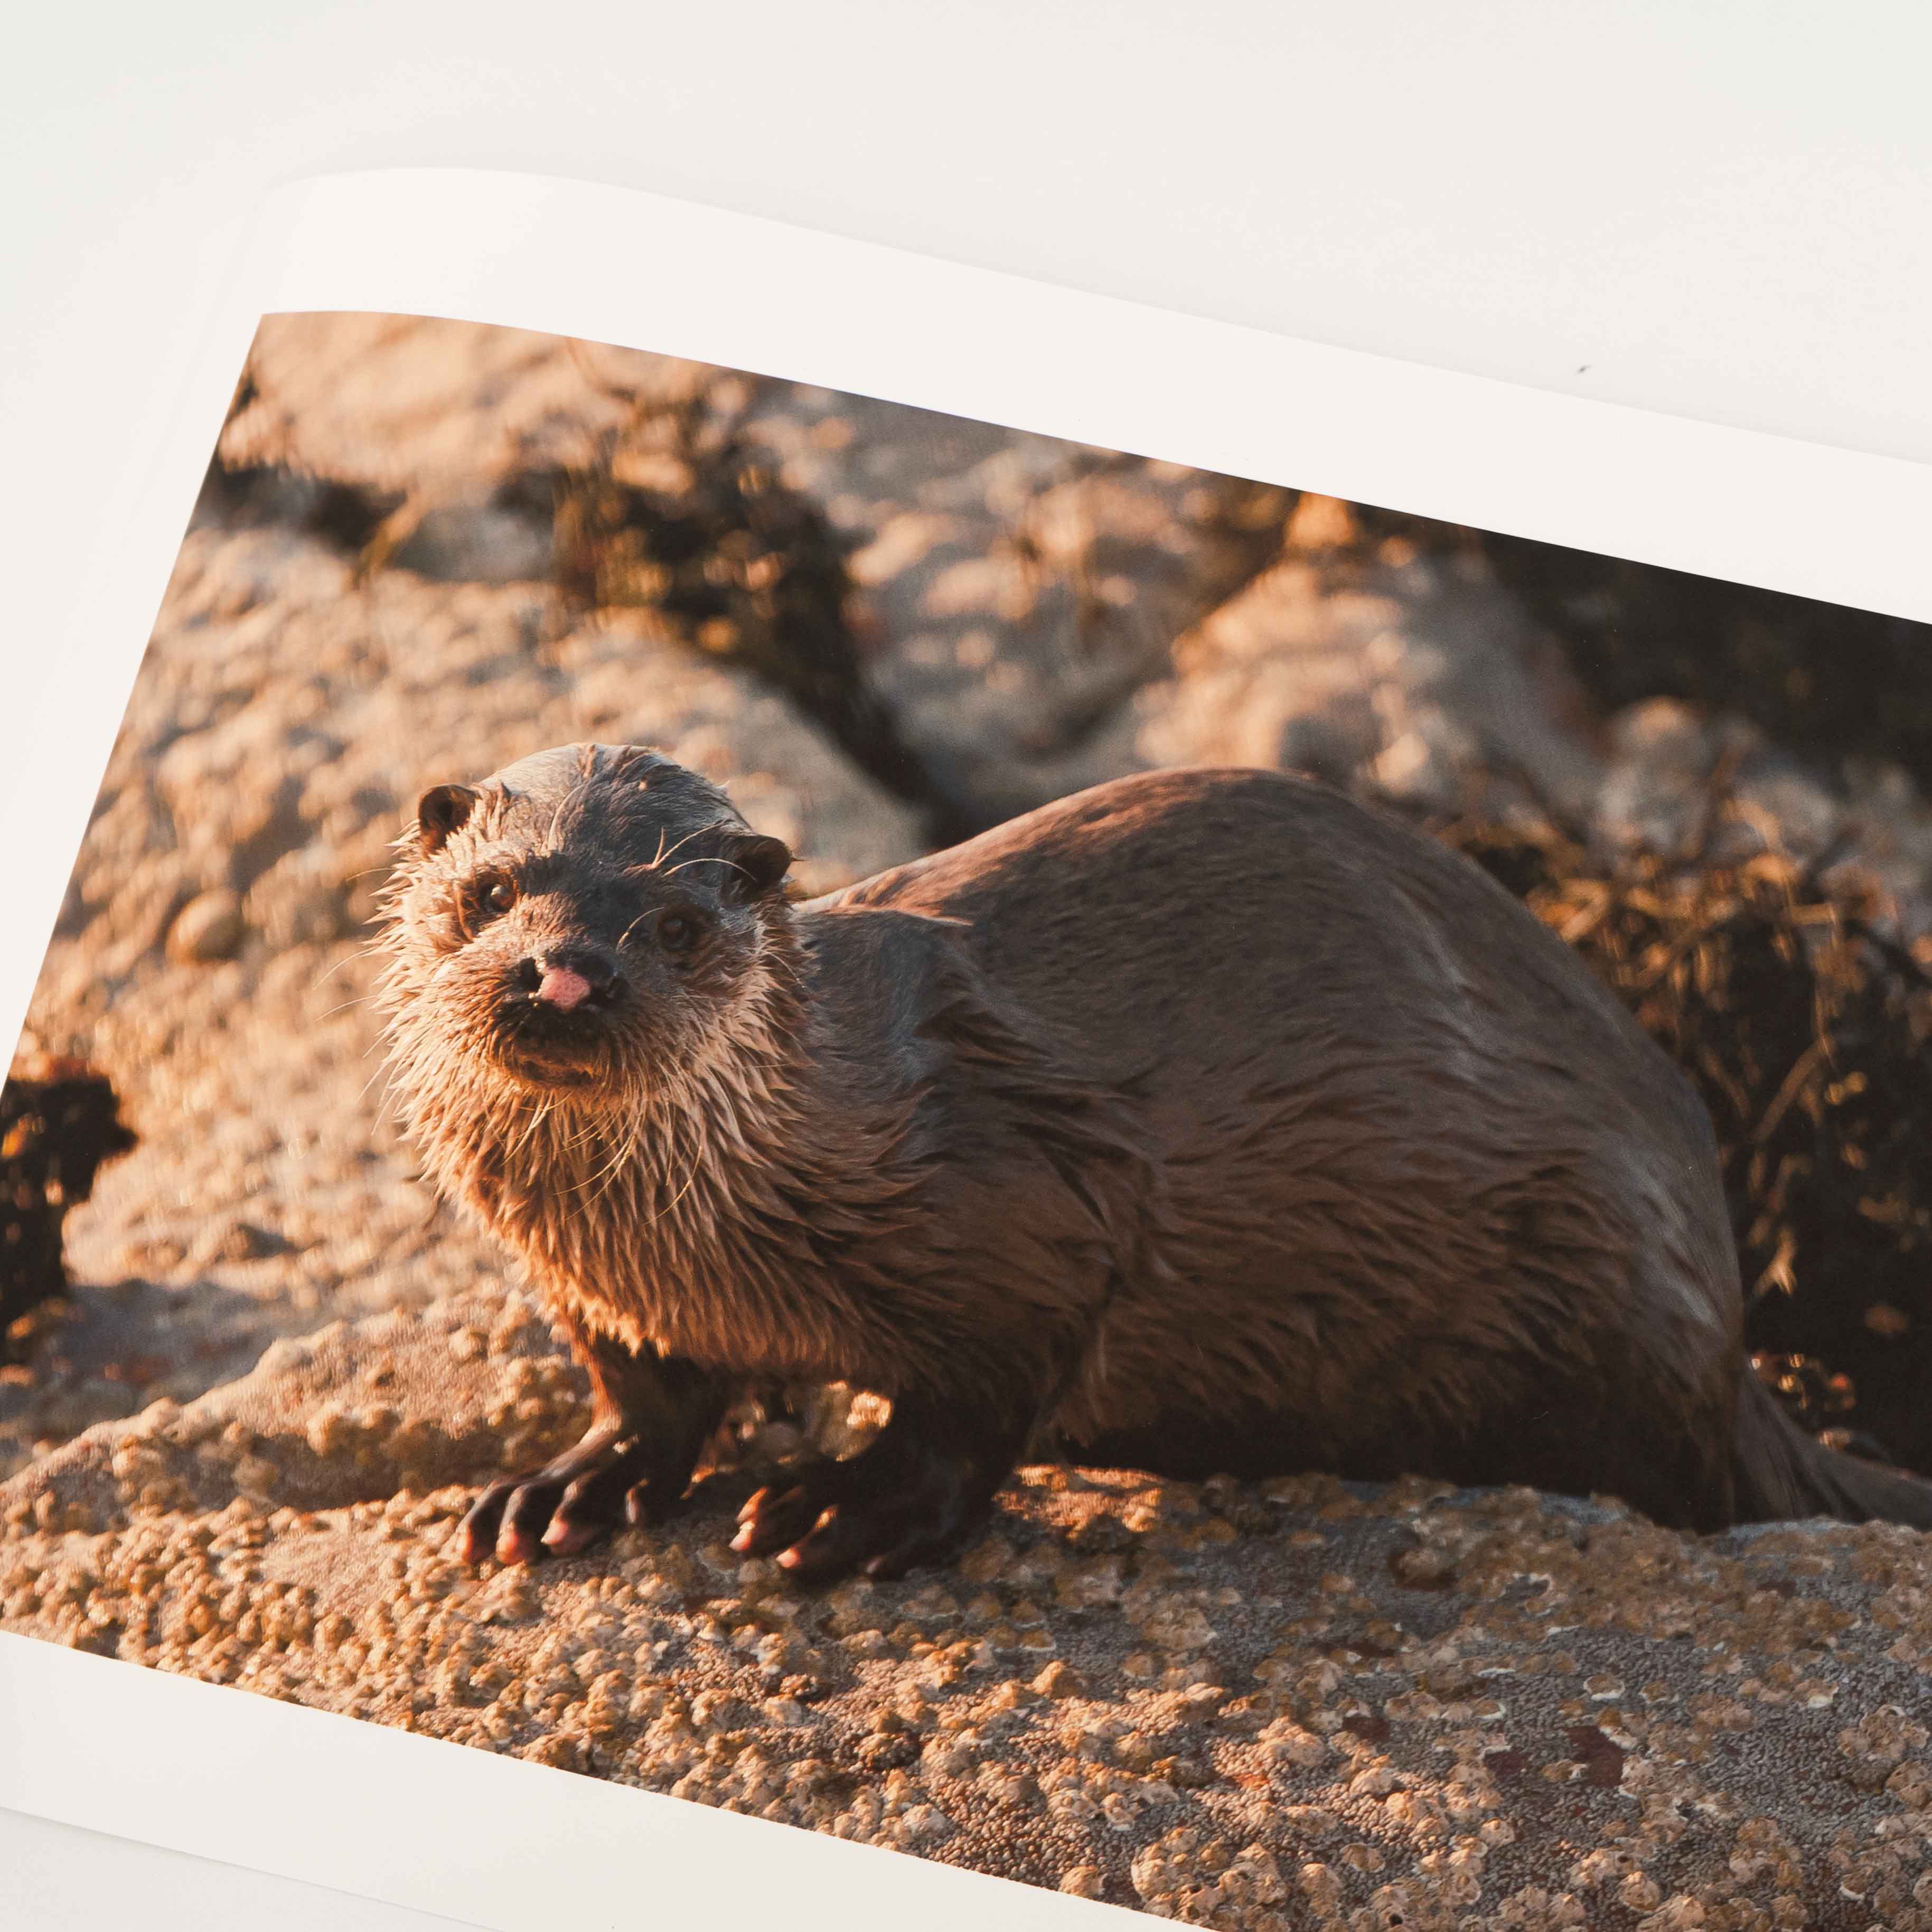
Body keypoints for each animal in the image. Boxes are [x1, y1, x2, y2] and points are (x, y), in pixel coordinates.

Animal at [377, 743, 1932, 1581]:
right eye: (493, 891)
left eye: (677, 925)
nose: (565, 974)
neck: (680, 1239)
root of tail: (1732, 1332)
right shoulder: (603, 1296)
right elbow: (650, 1398)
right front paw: (566, 1484)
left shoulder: (1029, 1200)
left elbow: (975, 1402)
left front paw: (843, 1506)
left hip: (1605, 1267)